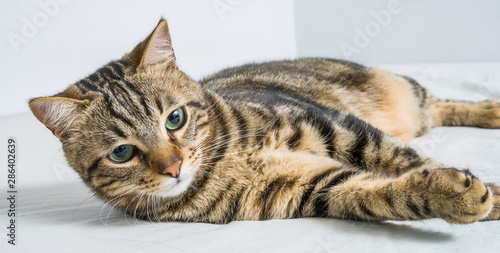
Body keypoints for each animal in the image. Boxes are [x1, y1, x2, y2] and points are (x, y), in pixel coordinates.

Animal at [30, 18, 500, 223]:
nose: (173, 167)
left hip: (405, 93)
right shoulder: (314, 189)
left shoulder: (335, 126)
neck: (221, 165)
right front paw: (455, 195)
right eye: (121, 153)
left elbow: (404, 159)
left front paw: (486, 191)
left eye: (175, 118)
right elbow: (380, 193)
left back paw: (489, 109)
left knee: (439, 103)